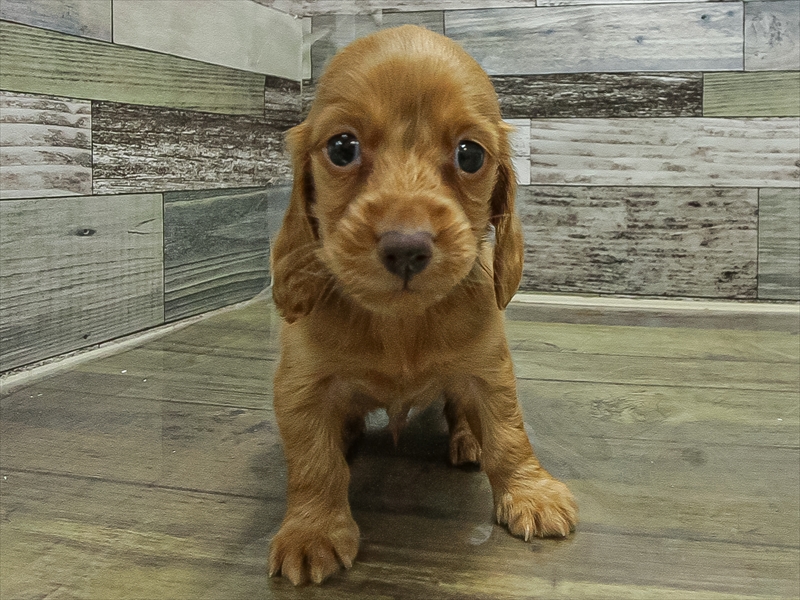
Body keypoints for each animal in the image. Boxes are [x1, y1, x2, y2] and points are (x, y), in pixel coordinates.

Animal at [268, 25, 577, 585]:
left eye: (470, 155)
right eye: (342, 147)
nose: (406, 248)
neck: (400, 322)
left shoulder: (489, 371)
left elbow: (509, 432)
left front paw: (530, 492)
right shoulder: (300, 387)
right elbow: (313, 462)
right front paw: (311, 531)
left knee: (462, 414)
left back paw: (468, 440)